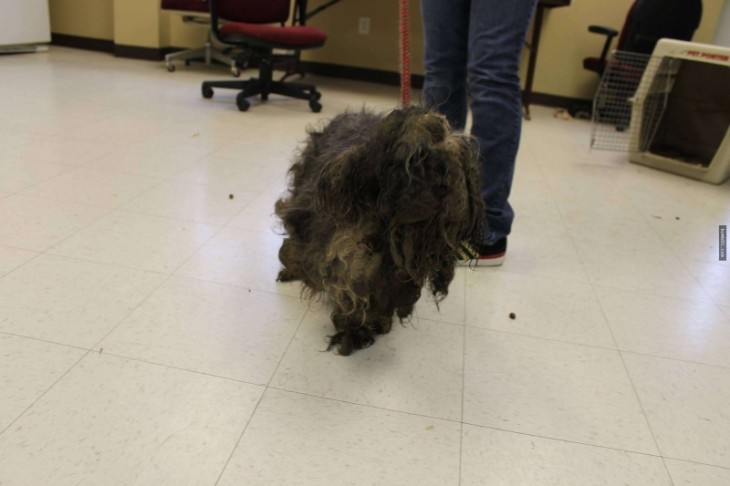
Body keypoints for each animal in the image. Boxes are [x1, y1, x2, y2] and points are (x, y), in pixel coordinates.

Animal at [276, 106, 480, 356]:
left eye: (443, 168)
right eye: (410, 163)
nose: (425, 199)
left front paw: (375, 323)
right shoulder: (339, 256)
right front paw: (351, 332)